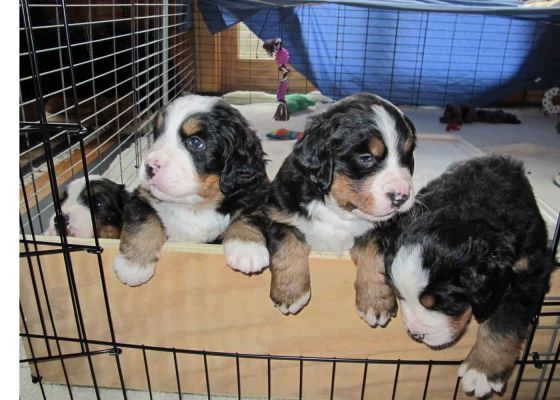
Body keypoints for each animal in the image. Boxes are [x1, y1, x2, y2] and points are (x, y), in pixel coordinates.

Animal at [112, 95, 268, 286]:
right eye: (158, 134)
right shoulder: (141, 196)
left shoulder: (254, 195)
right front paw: (133, 265)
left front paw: (247, 249)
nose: (149, 167)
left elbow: (248, 216)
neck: (194, 206)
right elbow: (143, 221)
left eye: (195, 142)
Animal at [230, 93, 418, 322]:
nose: (401, 196)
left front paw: (376, 302)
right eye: (365, 158)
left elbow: (376, 256)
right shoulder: (278, 215)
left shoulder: (382, 229)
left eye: (407, 155)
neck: (339, 211)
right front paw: (290, 293)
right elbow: (289, 244)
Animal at [382, 155, 552, 398]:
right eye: (399, 295)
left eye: (442, 305)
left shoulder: (528, 270)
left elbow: (503, 322)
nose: (416, 335)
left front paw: (482, 369)